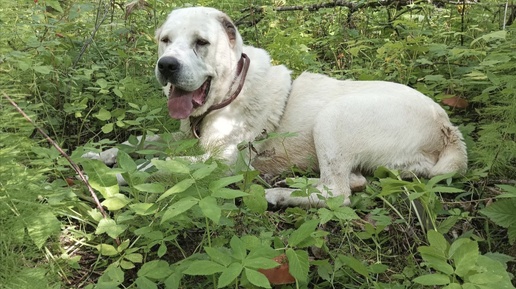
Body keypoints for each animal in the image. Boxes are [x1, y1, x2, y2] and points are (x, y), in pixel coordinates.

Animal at [84, 6, 468, 207]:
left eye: (201, 43)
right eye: (165, 40)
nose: (166, 65)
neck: (231, 91)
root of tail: (446, 127)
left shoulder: (222, 162)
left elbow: (156, 165)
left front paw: (107, 176)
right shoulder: (181, 138)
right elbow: (136, 143)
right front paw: (96, 155)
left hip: (334, 118)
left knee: (339, 193)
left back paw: (277, 193)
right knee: (353, 183)